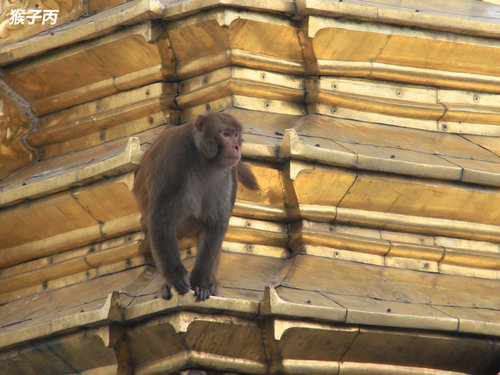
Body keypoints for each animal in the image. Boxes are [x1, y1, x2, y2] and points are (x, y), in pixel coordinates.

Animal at [131, 111, 260, 302]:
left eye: (236, 134)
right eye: (225, 134)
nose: (236, 146)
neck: (204, 159)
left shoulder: (230, 172)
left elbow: (215, 225)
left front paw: (200, 284)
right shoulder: (174, 158)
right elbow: (161, 219)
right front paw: (177, 277)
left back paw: (212, 283)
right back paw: (167, 284)